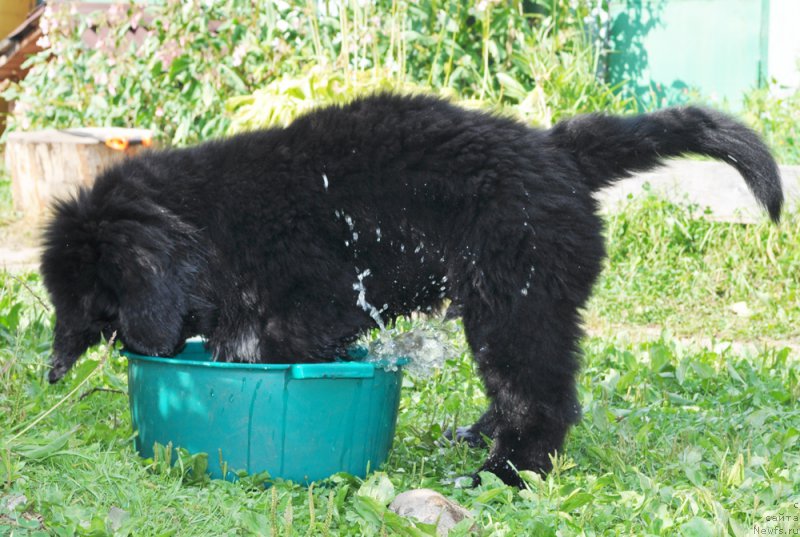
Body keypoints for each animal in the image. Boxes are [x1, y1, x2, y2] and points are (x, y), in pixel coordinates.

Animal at [39, 93, 780, 486]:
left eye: (100, 304)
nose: (52, 370)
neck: (211, 217)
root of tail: (558, 150)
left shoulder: (323, 294)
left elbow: (278, 337)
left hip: (517, 298)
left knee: (541, 397)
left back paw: (505, 472)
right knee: (518, 390)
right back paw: (477, 439)